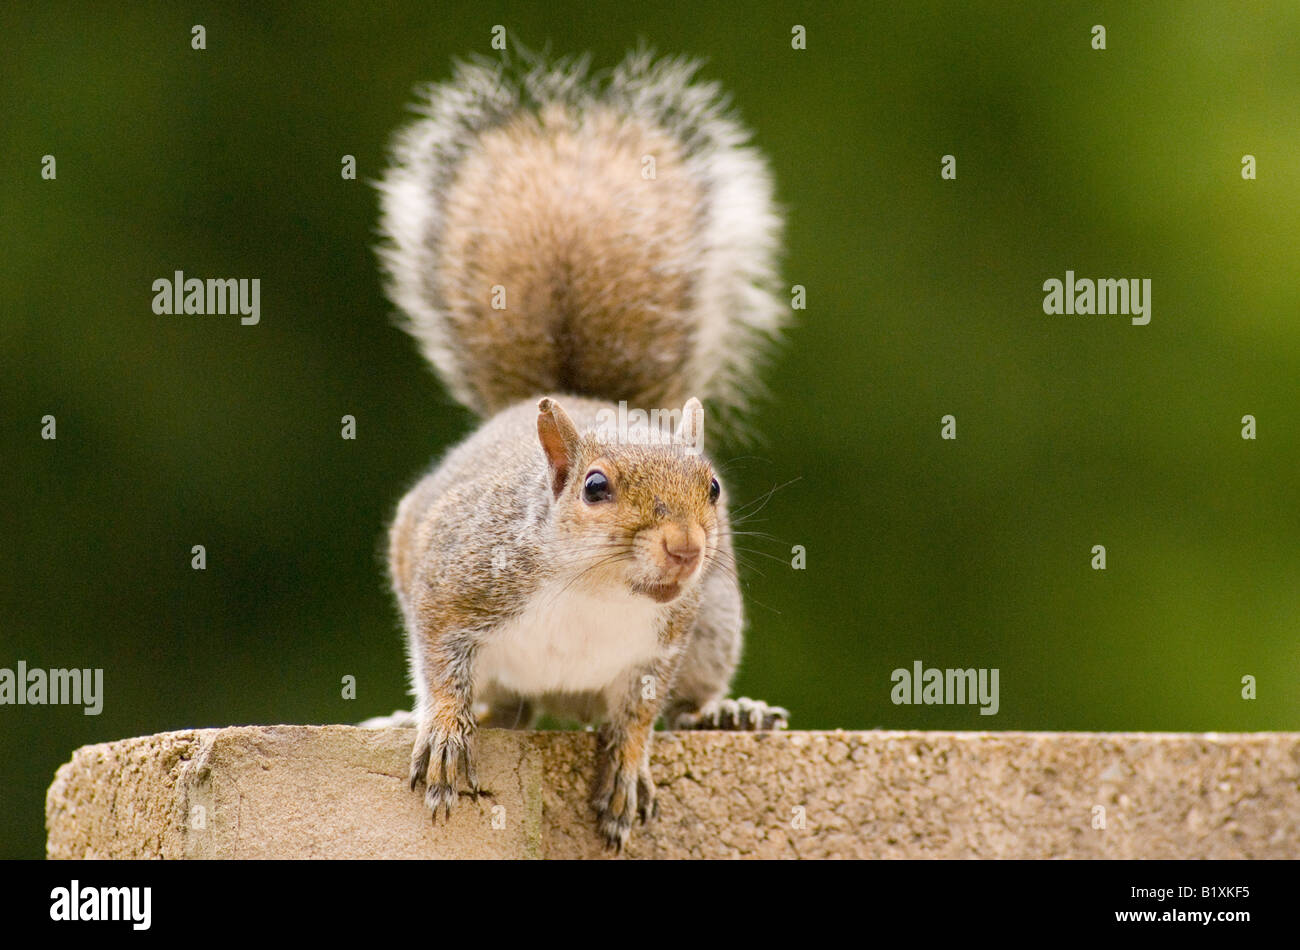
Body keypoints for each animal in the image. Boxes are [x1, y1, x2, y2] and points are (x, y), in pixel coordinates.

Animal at [371, 50, 785, 852]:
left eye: (714, 488)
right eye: (594, 488)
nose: (688, 548)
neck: (596, 588)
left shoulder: (663, 645)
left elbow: (640, 713)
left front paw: (626, 769)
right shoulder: (453, 578)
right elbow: (439, 660)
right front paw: (443, 732)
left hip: (716, 623)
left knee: (685, 698)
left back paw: (726, 712)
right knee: (501, 707)